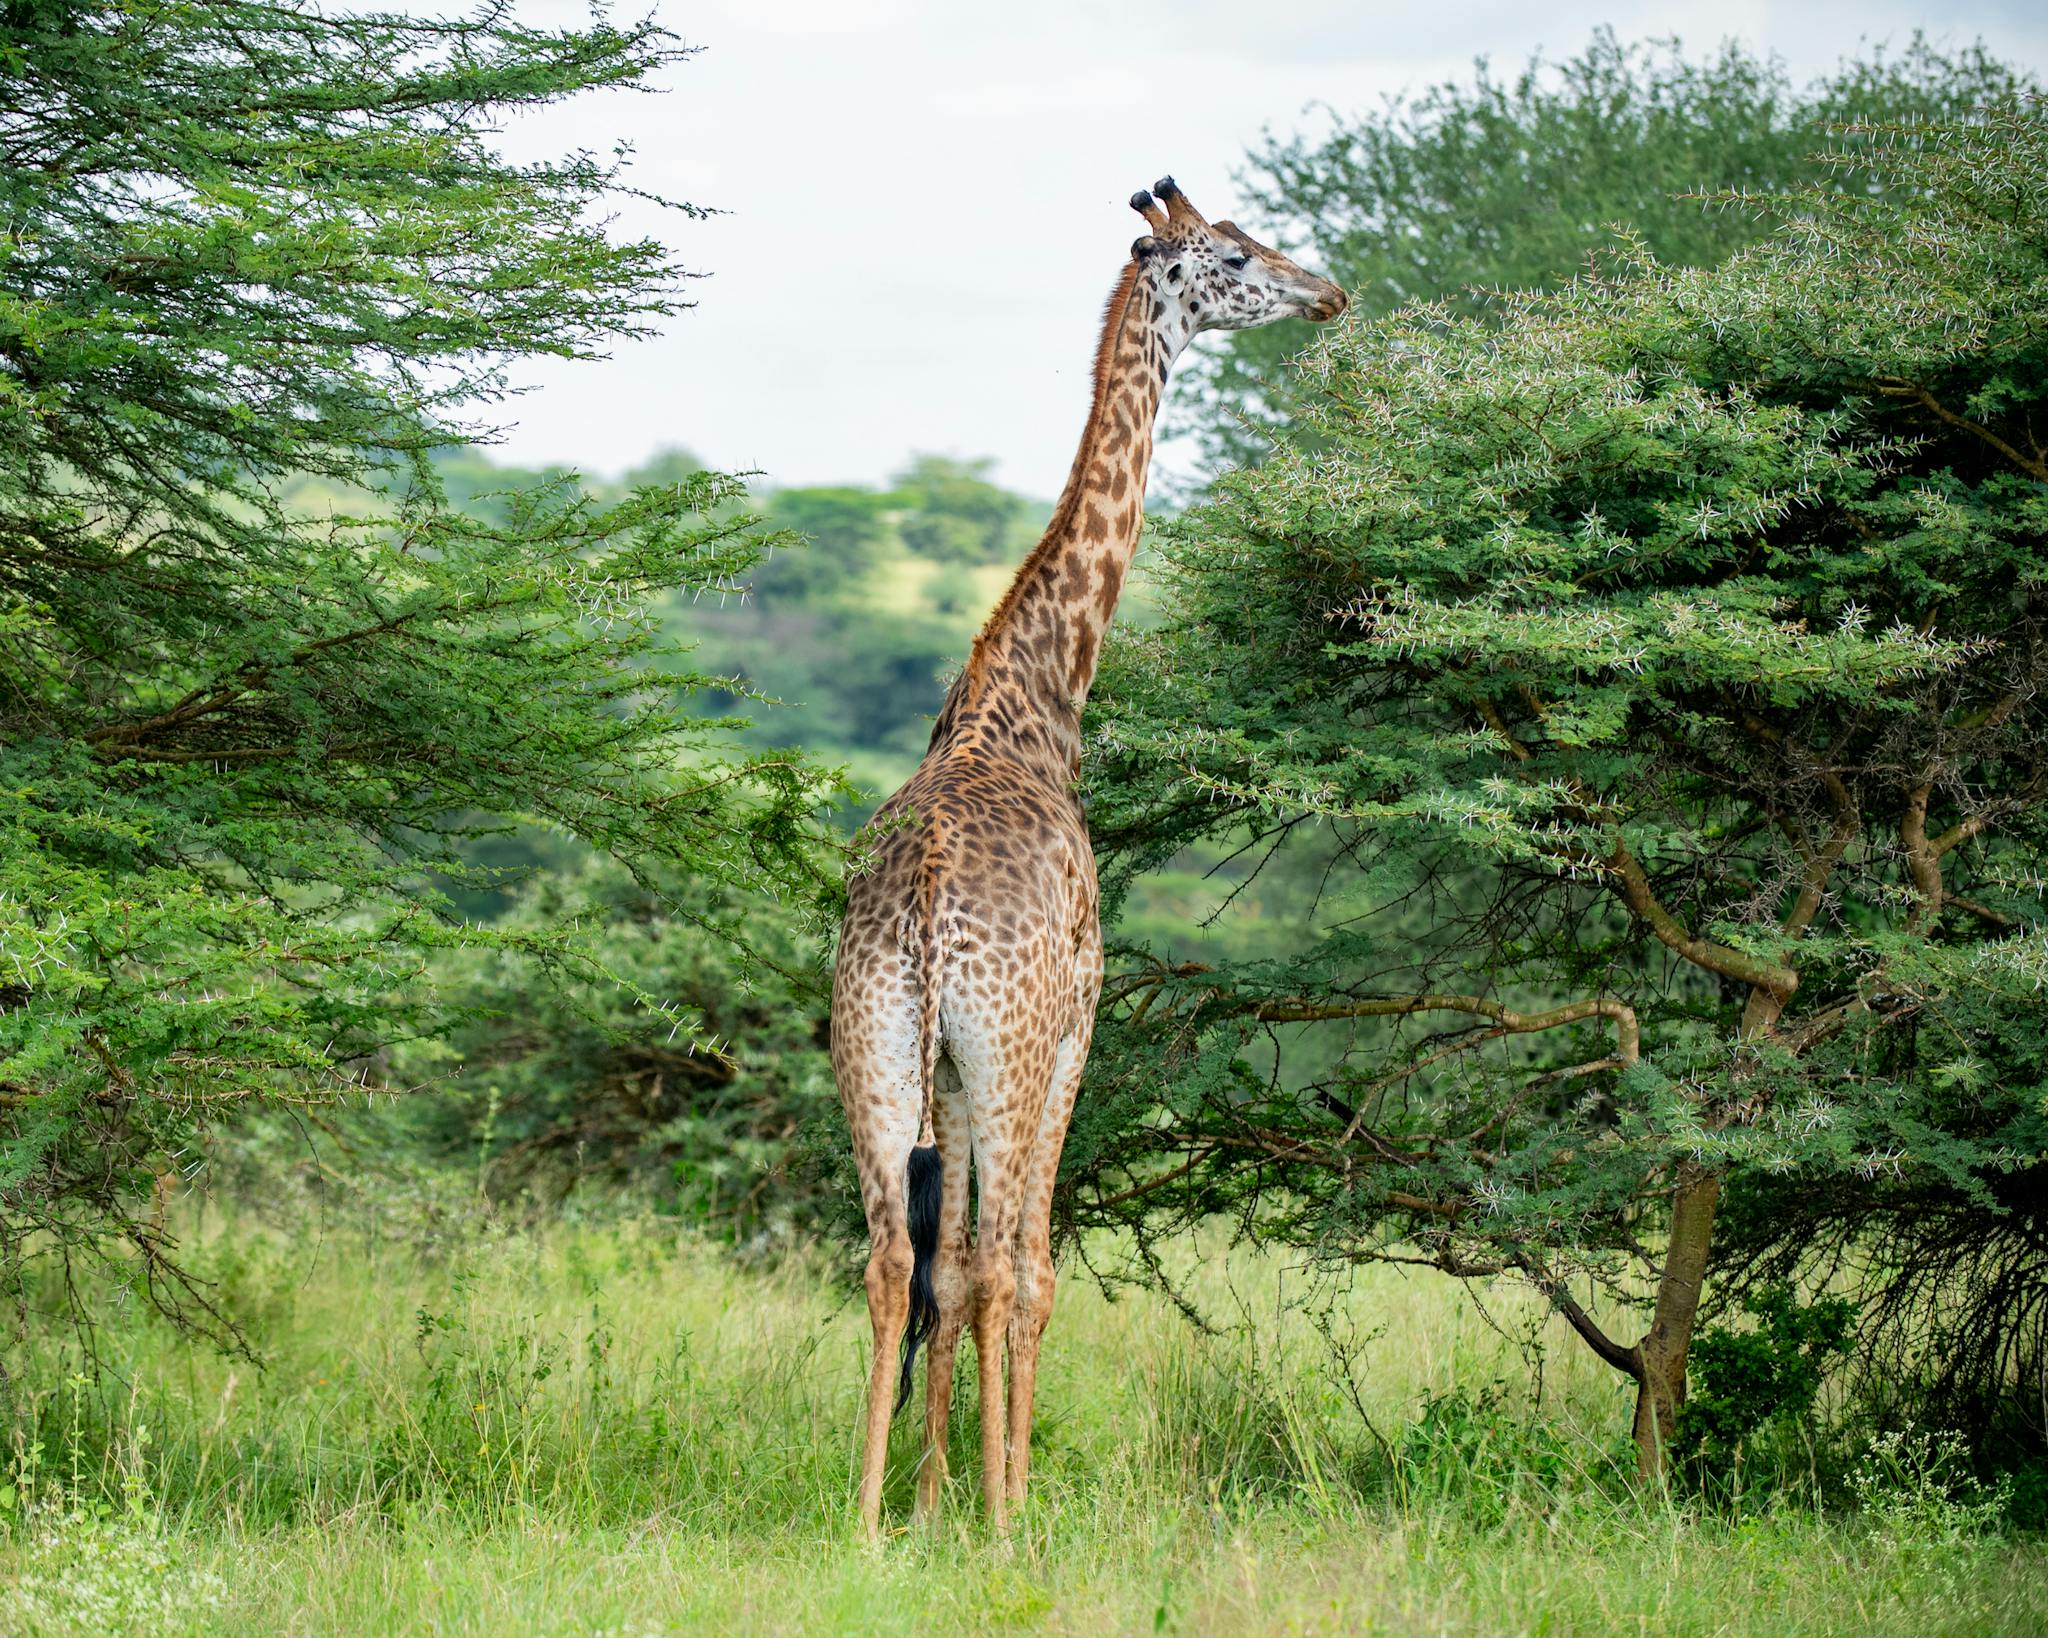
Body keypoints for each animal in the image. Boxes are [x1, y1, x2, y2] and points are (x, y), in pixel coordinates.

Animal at [831, 177, 1346, 1539]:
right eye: (1233, 254)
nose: (1328, 292)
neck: (1035, 697)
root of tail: (923, 913)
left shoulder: (953, 1072)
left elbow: (951, 1268)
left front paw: (931, 1505)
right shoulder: (1075, 1027)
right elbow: (1026, 1268)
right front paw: (995, 1503)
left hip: (877, 1047)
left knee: (892, 1259)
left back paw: (864, 1520)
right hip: (1008, 1052)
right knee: (1007, 1262)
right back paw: (1003, 1522)